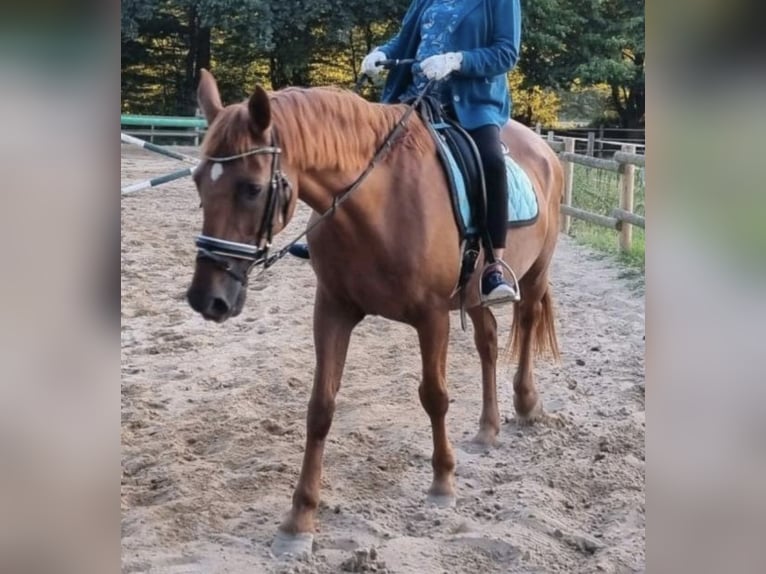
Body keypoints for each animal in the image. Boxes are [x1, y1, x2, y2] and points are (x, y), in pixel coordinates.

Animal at [185, 69, 562, 555]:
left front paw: (443, 483)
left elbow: (434, 397)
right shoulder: (332, 309)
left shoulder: (432, 317)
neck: (378, 202)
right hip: (473, 294)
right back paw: (487, 428)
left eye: (251, 188)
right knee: (489, 343)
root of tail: (543, 148)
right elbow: (320, 408)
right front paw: (299, 520)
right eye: (198, 181)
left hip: (534, 274)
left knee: (527, 323)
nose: (206, 298)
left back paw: (527, 404)